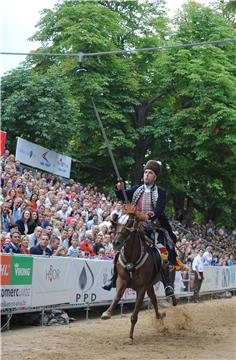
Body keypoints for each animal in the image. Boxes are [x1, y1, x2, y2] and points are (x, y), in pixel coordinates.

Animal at [100, 205, 172, 344]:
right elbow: (117, 297)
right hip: (150, 286)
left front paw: (130, 337)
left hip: (157, 282)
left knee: (168, 292)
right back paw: (159, 317)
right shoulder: (122, 280)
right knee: (154, 301)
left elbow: (134, 315)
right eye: (116, 224)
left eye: (129, 223)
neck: (132, 259)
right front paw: (107, 313)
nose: (116, 243)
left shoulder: (141, 288)